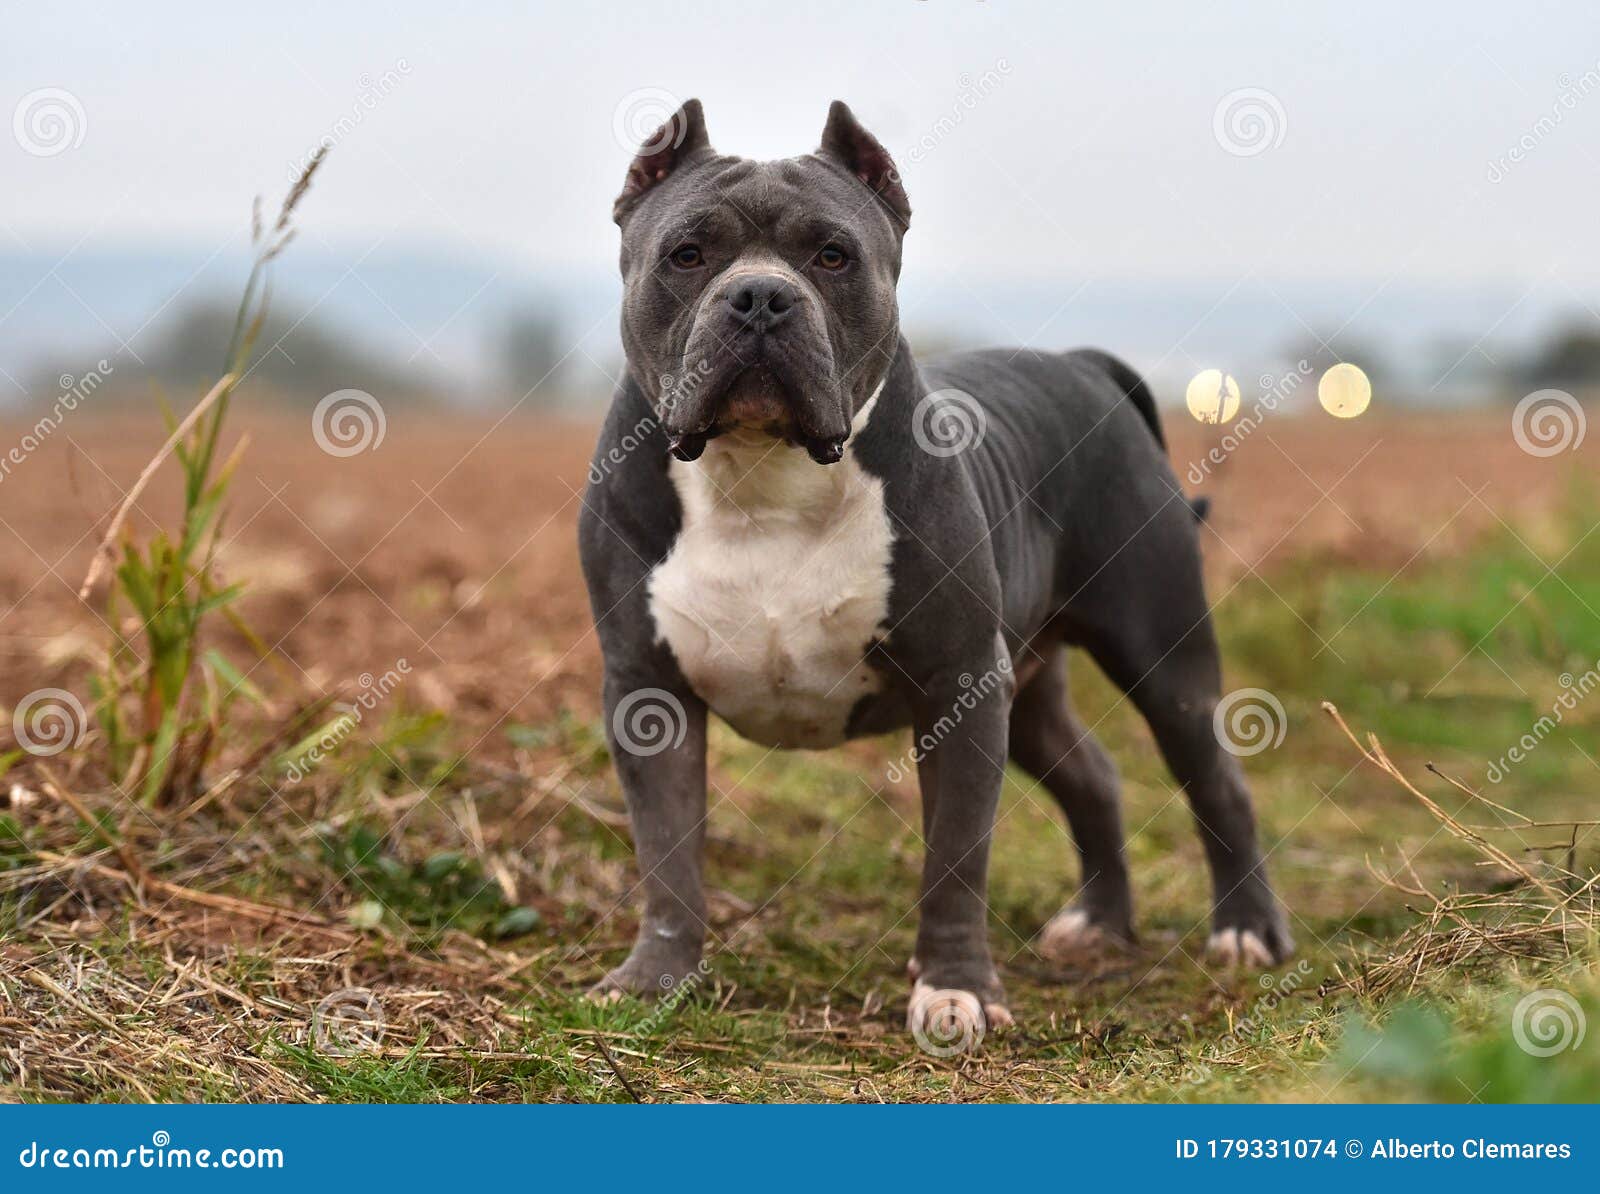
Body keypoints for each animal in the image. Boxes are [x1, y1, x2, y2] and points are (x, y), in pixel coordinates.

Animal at [576, 100, 1286, 1030]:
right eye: (686, 255)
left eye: (833, 255)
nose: (761, 295)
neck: (762, 472)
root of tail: (1085, 366)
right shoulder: (648, 692)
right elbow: (666, 851)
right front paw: (656, 980)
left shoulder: (959, 686)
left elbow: (955, 858)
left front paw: (955, 989)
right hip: (1031, 686)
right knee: (1092, 776)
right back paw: (1100, 924)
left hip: (1162, 657)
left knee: (1217, 781)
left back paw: (1247, 933)